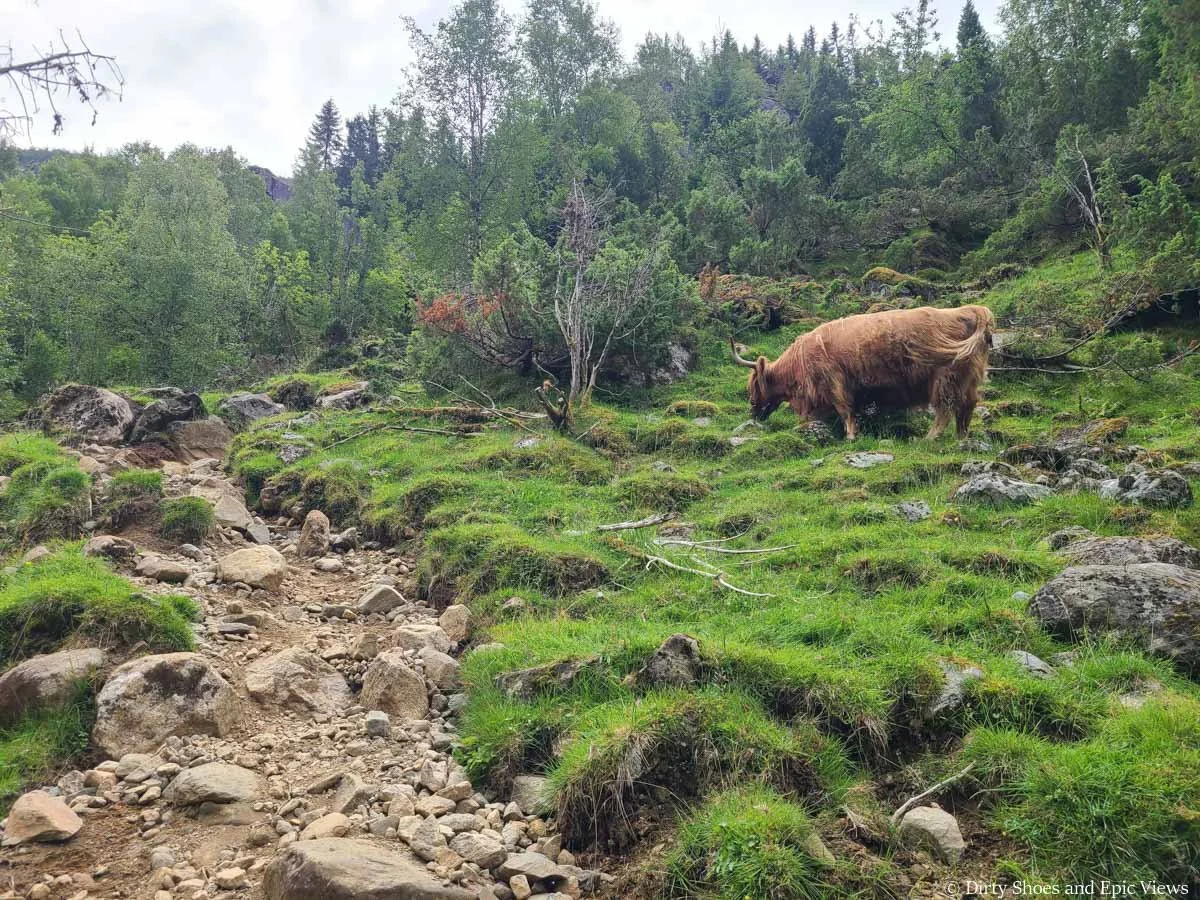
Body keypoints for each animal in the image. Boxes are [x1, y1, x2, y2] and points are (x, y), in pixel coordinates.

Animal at [732, 305, 995, 440]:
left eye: (753, 386)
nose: (752, 410)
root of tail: (970, 310)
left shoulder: (833, 383)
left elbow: (845, 410)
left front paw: (850, 436)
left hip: (945, 377)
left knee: (945, 409)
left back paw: (929, 438)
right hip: (968, 377)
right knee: (968, 404)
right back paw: (962, 436)